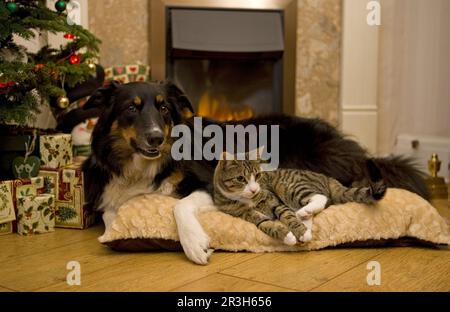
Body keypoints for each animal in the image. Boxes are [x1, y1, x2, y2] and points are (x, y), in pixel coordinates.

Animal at [214, 152, 386, 245]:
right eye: (240, 179)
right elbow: (265, 223)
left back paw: (304, 213)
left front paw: (300, 232)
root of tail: (328, 178)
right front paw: (287, 236)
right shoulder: (244, 214)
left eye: (257, 176)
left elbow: (287, 215)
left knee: (320, 197)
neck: (246, 199)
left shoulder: (273, 200)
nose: (254, 189)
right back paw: (305, 217)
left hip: (290, 187)